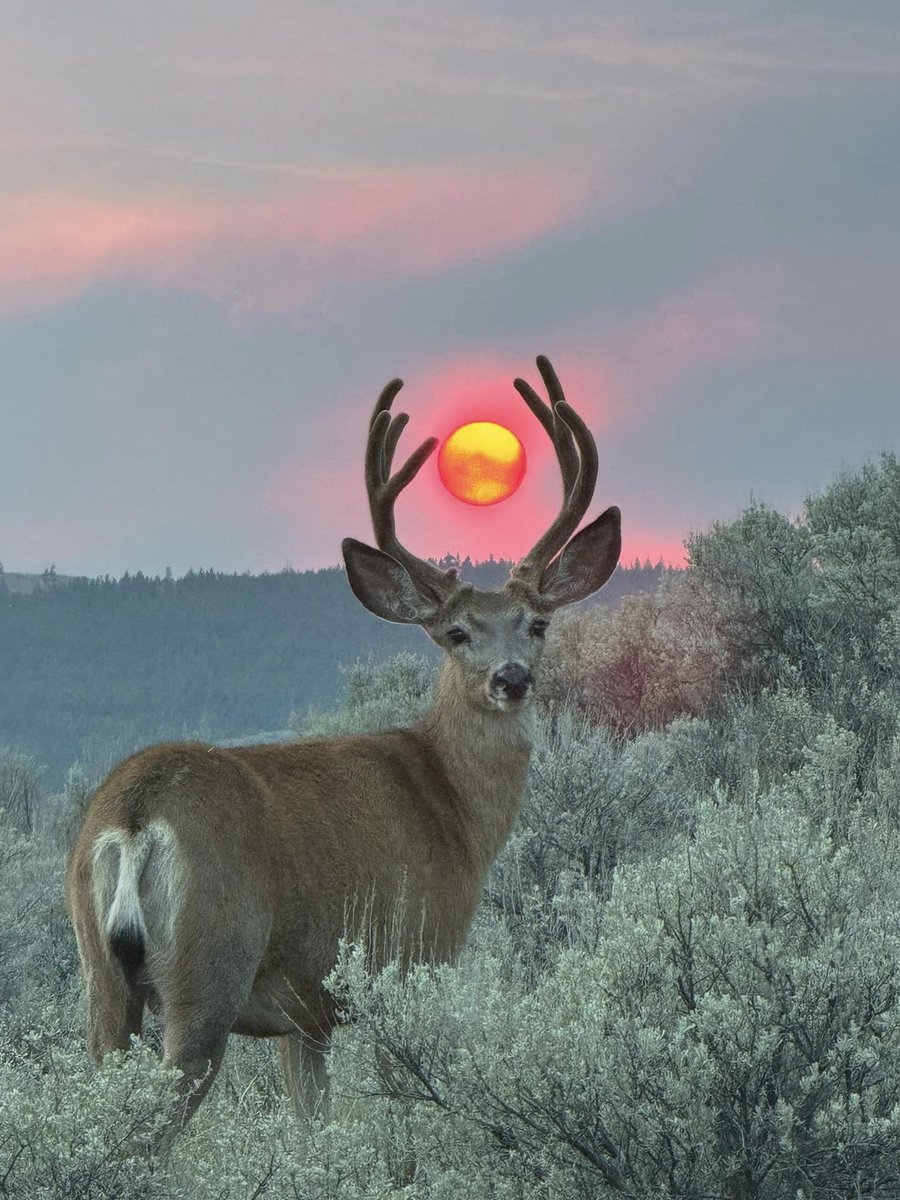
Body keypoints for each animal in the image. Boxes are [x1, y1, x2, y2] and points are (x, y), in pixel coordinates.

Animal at [65, 355, 621, 1153]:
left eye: (537, 623)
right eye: (456, 633)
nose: (511, 678)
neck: (452, 808)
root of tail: (134, 819)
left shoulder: (306, 1018)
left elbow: (312, 1128)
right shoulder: (413, 957)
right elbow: (405, 1126)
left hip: (101, 978)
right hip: (208, 967)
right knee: (149, 1131)